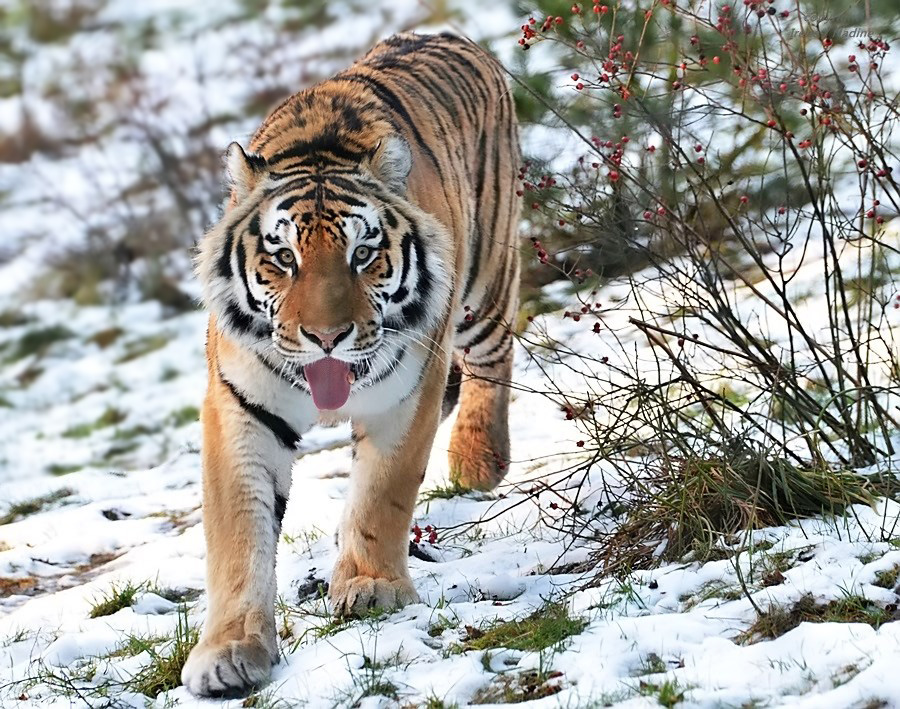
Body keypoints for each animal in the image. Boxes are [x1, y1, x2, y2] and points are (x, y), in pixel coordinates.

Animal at [181, 30, 520, 696]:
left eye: (363, 254)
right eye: (283, 257)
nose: (326, 337)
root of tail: (455, 36)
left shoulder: (406, 393)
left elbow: (381, 493)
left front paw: (369, 586)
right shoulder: (241, 406)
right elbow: (237, 532)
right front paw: (229, 650)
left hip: (484, 283)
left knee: (495, 353)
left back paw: (477, 461)